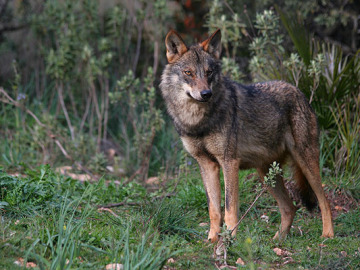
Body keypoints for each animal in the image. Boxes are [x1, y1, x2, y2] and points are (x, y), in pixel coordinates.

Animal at [160, 29, 334, 243]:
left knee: (324, 201)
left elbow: (229, 208)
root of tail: (299, 92)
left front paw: (229, 239)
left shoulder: (229, 162)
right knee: (289, 208)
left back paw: (327, 235)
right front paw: (212, 240)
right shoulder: (207, 165)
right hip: (267, 175)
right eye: (188, 73)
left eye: (209, 72)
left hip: (305, 162)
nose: (206, 93)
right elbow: (214, 209)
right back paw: (278, 240)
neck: (197, 121)